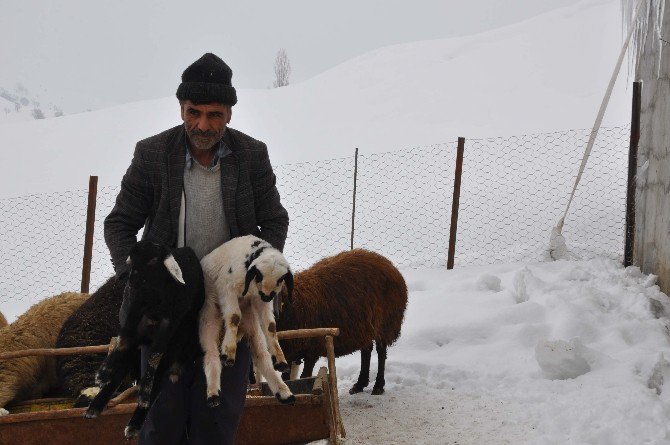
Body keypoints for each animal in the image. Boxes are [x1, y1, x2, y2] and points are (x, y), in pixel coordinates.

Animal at [84, 239, 206, 438]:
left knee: (157, 376)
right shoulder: (135, 312)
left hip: (173, 345)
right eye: (130, 262)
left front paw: (143, 393)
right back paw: (94, 406)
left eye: (153, 261)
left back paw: (136, 417)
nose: (131, 282)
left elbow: (154, 357)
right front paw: (102, 373)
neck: (154, 298)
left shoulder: (169, 324)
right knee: (121, 367)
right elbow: (122, 341)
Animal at [278, 248, 410, 394]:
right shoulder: (289, 353)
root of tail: (387, 262)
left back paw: (378, 386)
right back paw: (360, 384)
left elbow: (305, 377)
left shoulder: (312, 349)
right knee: (366, 350)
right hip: (364, 325)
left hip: (385, 323)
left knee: (381, 352)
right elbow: (286, 380)